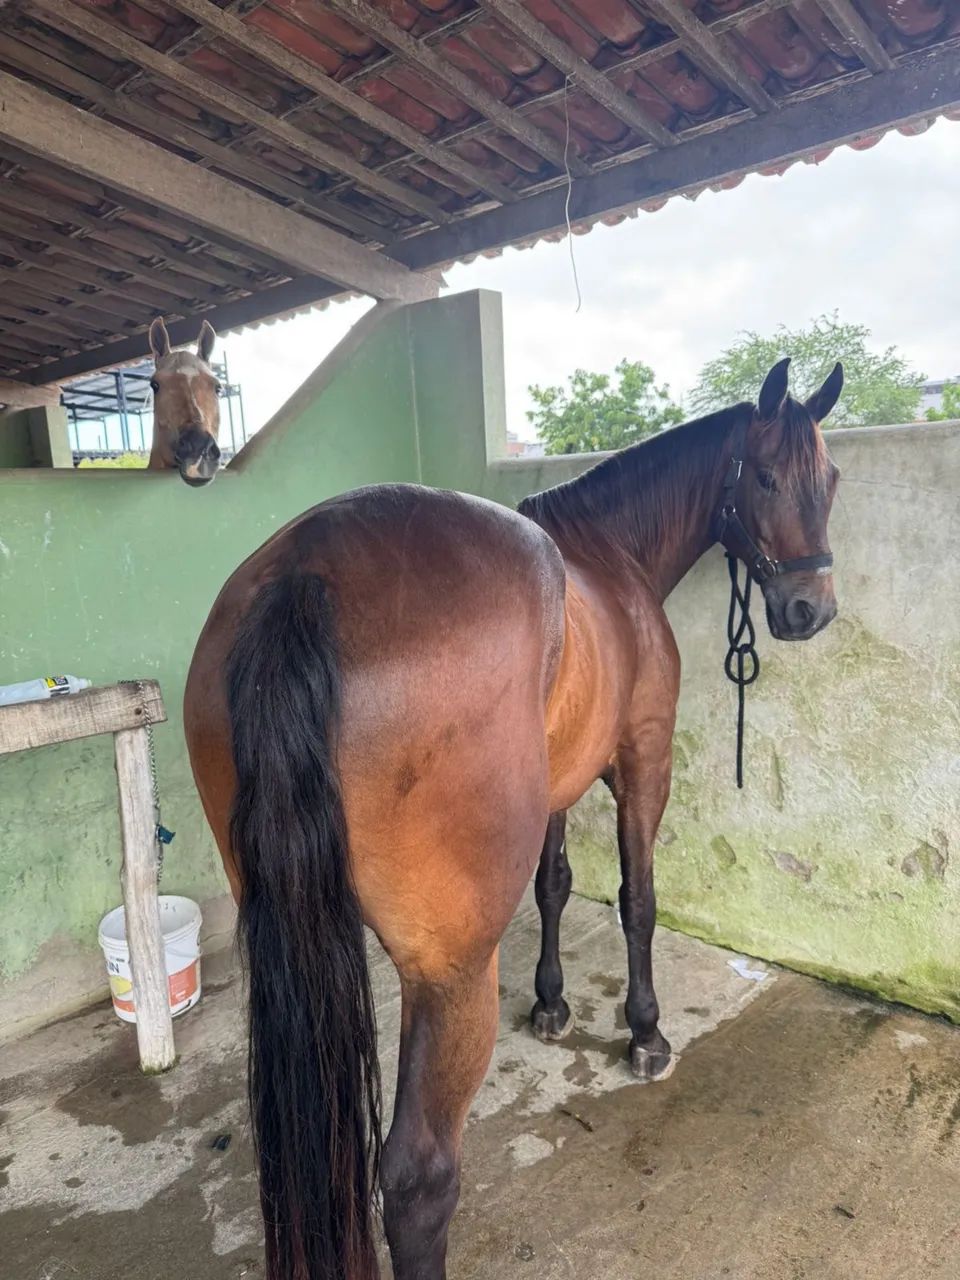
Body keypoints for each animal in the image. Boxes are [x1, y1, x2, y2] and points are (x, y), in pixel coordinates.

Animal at [183, 355, 842, 1280]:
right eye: (770, 476)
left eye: (833, 479)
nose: (810, 609)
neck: (612, 556)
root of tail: (303, 578)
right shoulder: (642, 759)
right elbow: (638, 900)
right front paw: (645, 1033)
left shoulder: (558, 785)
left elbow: (556, 886)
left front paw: (554, 1004)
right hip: (451, 975)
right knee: (418, 1179)